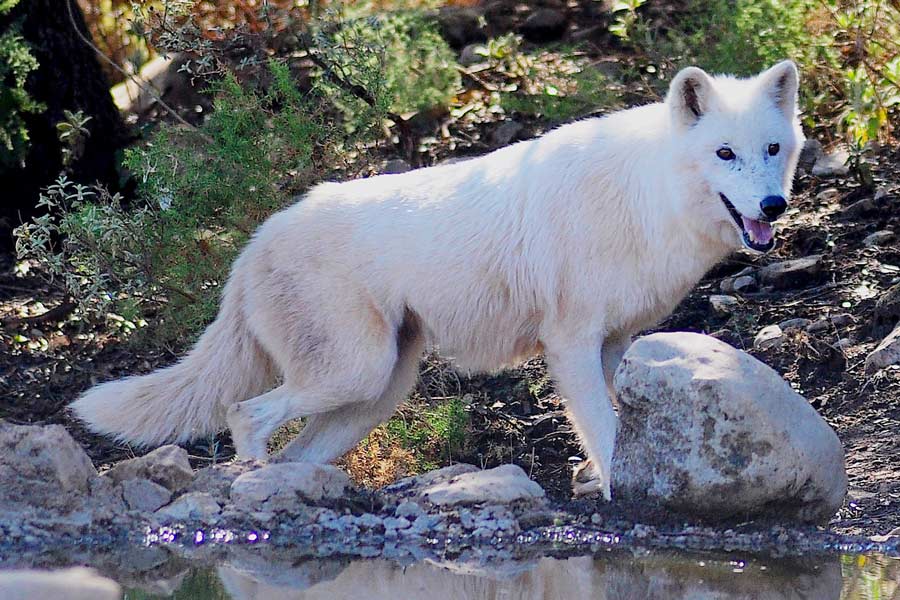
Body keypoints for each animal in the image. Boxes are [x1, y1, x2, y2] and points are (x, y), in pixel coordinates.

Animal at [72, 61, 803, 500]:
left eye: (772, 149)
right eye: (724, 153)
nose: (773, 207)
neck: (645, 196)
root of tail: (252, 247)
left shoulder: (614, 344)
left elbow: (614, 425)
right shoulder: (570, 346)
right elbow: (603, 427)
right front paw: (617, 492)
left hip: (373, 393)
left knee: (293, 449)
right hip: (356, 374)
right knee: (244, 413)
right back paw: (249, 479)